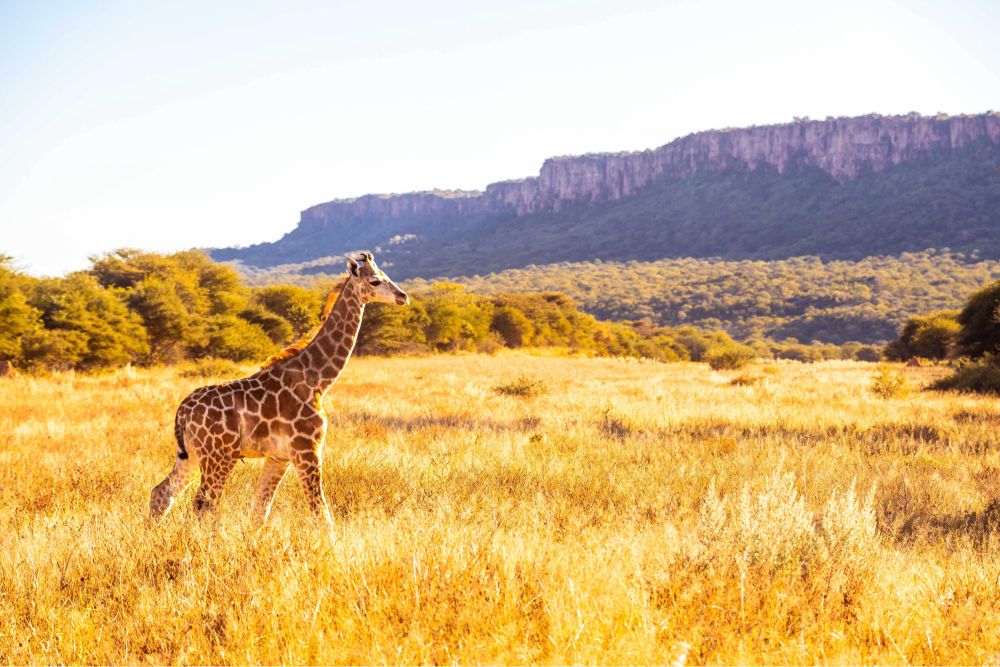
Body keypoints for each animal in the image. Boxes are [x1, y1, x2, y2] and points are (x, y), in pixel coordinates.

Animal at [149, 252, 408, 530]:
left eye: (386, 276)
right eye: (374, 281)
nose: (403, 296)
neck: (317, 379)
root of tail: (182, 412)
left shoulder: (278, 456)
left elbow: (260, 511)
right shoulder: (306, 448)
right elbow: (321, 512)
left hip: (191, 455)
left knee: (162, 492)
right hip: (219, 456)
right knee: (203, 505)